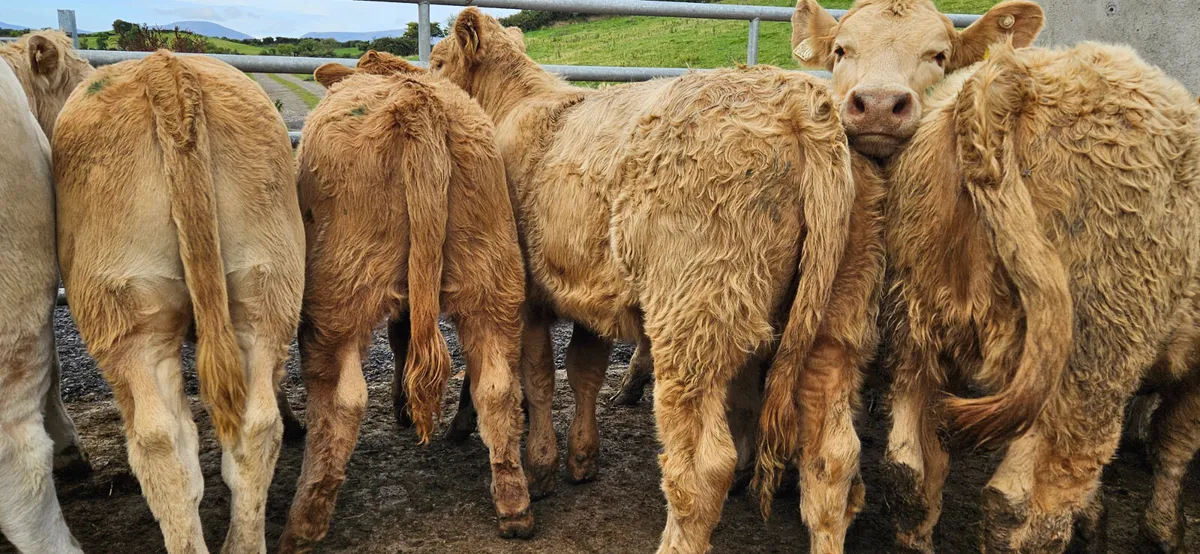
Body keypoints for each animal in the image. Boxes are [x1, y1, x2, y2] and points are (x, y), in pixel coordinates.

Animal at [278, 49, 532, 551]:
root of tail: (417, 101)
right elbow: (401, 336)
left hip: (336, 294)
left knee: (341, 401)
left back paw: (303, 522)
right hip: (492, 278)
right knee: (496, 386)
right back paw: (514, 507)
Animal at [427, 7, 888, 549]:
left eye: (436, 62)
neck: (518, 103)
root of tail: (798, 100)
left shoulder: (525, 298)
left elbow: (537, 378)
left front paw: (540, 468)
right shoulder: (590, 295)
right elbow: (583, 371)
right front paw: (582, 458)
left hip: (693, 321)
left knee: (703, 465)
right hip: (837, 320)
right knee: (834, 455)